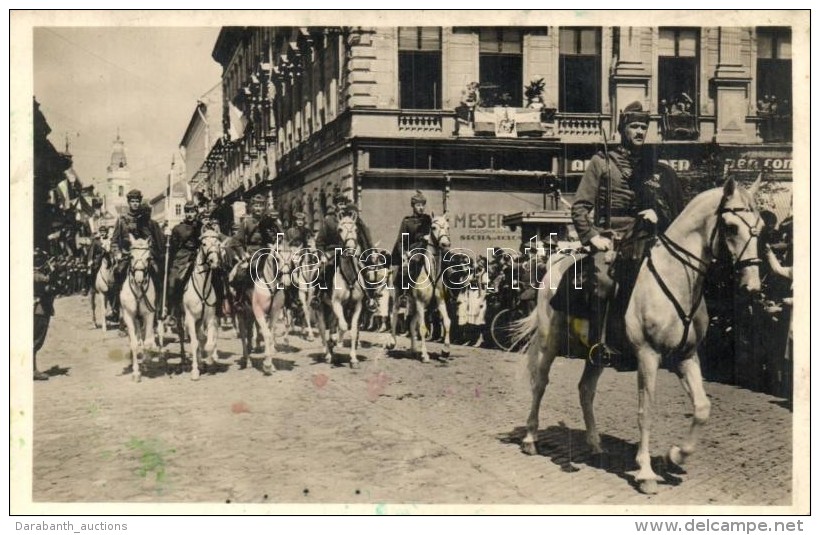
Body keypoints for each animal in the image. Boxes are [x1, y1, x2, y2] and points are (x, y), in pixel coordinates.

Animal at [120, 237, 159, 384]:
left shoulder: (149, 314)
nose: (139, 279)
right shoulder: (129, 315)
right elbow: (134, 344)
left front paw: (147, 359)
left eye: (148, 258)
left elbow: (147, 340)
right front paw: (136, 372)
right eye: (131, 256)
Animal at [182, 228, 224, 384]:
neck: (202, 285)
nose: (214, 262)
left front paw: (210, 359)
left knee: (203, 337)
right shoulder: (190, 318)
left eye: (218, 243)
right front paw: (195, 371)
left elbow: (208, 343)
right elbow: (194, 343)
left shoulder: (210, 318)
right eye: (204, 243)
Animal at [314, 214, 366, 368]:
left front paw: (353, 359)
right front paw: (337, 341)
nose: (350, 248)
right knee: (323, 330)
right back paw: (327, 353)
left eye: (356, 229)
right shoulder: (337, 303)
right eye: (340, 229)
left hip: (331, 309)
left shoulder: (357, 306)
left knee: (332, 326)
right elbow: (343, 327)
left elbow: (353, 331)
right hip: (320, 308)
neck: (348, 275)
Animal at [386, 214, 452, 364]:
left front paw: (445, 351)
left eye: (447, 227)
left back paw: (414, 350)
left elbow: (447, 322)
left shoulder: (439, 301)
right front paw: (425, 356)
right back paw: (392, 342)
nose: (445, 244)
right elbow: (422, 328)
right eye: (433, 227)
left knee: (411, 324)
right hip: (398, 297)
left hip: (415, 304)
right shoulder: (421, 303)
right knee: (394, 315)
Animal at [512, 178, 764, 496]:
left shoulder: (686, 357)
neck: (676, 279)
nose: (752, 287)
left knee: (585, 390)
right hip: (549, 343)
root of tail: (554, 265)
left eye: (761, 226)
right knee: (540, 384)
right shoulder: (648, 355)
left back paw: (595, 445)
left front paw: (674, 456)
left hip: (595, 356)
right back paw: (530, 438)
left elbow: (702, 408)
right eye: (730, 227)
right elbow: (646, 410)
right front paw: (645, 472)